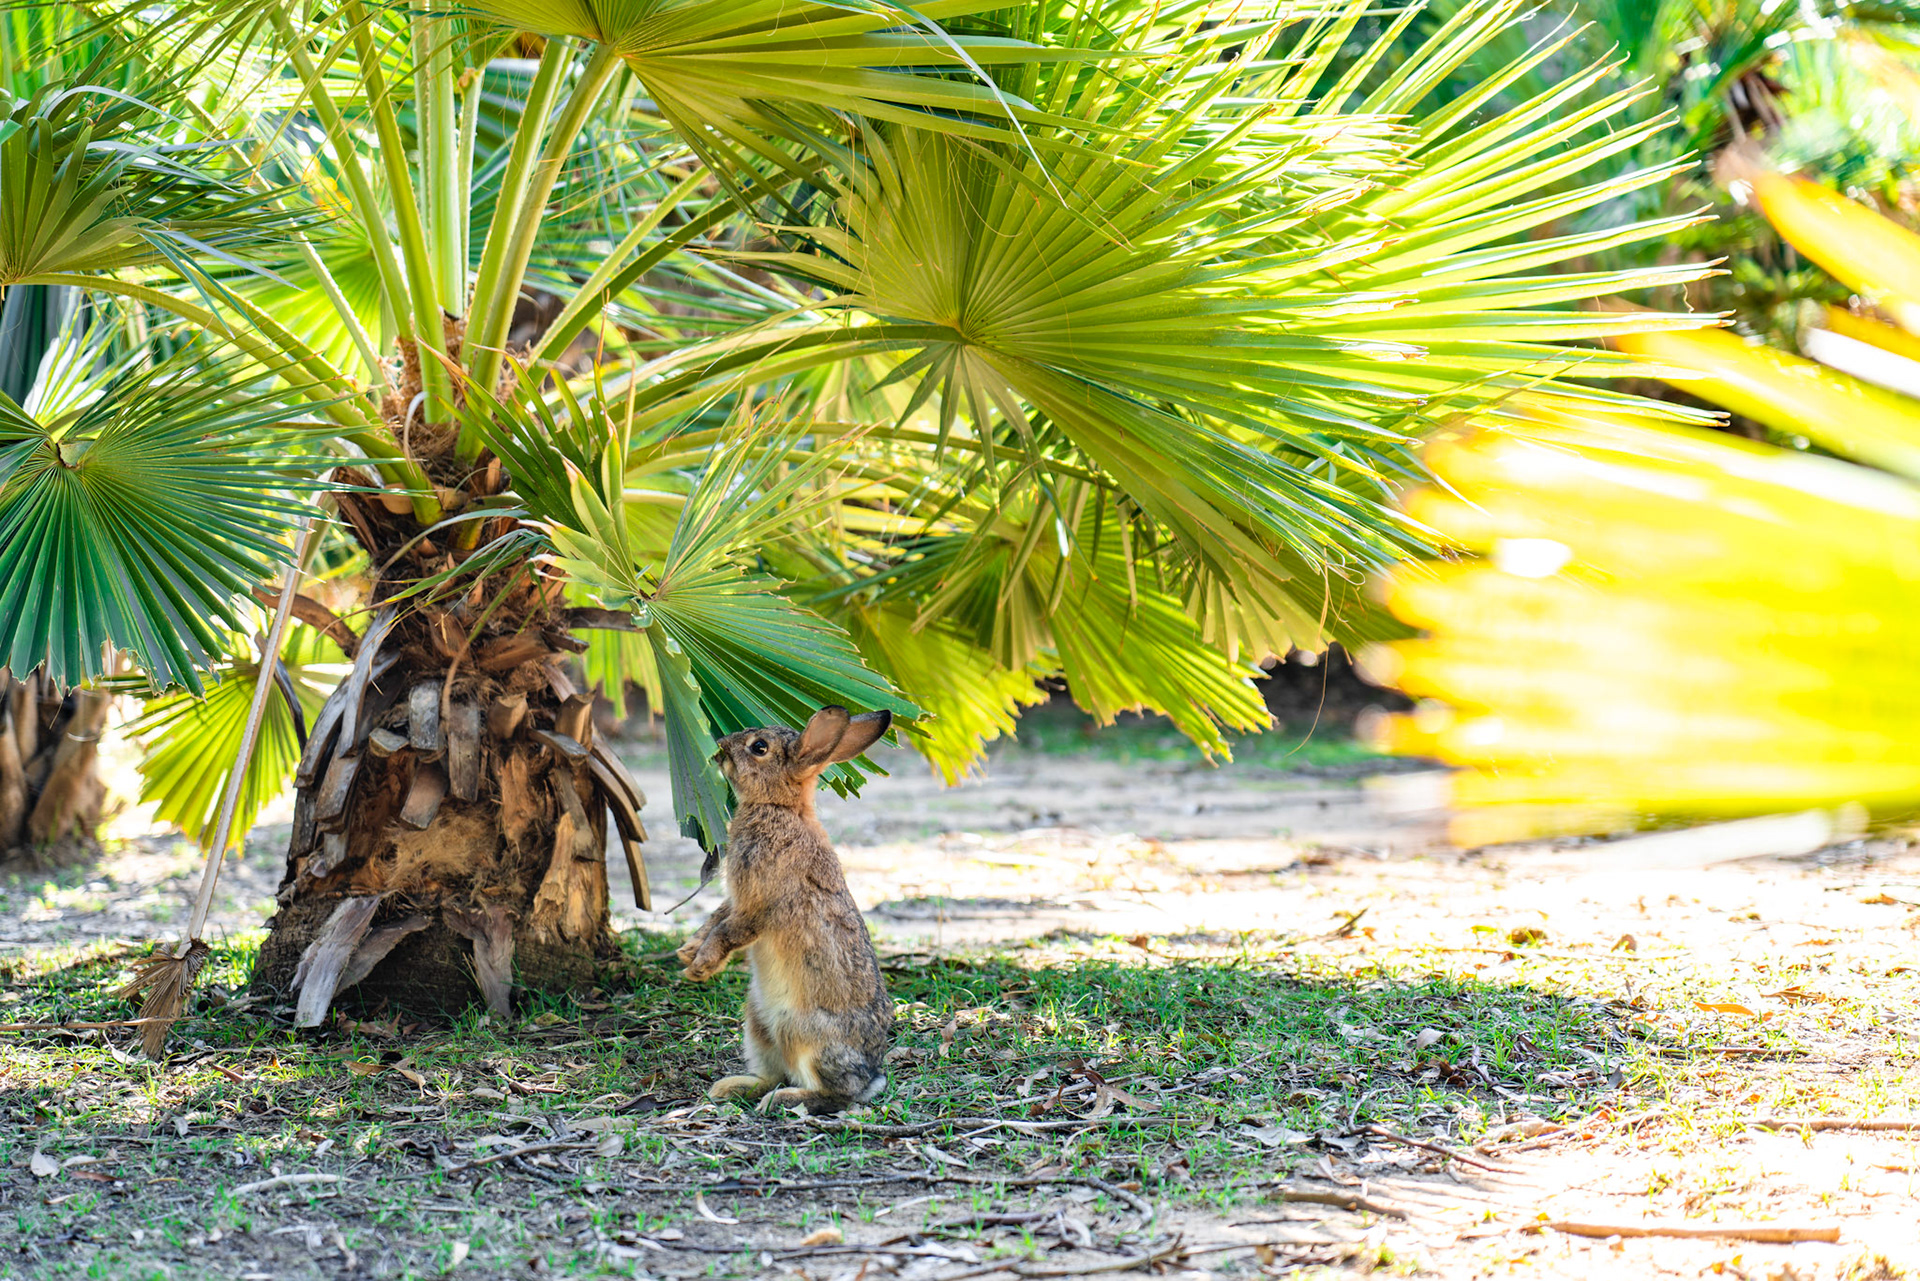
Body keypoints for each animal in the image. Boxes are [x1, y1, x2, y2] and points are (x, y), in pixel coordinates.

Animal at [677, 705, 895, 1115]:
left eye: (759, 747)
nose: (720, 745)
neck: (778, 808)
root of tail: (870, 1076)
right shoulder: (736, 897)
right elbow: (716, 916)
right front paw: (687, 951)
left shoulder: (759, 905)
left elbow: (727, 930)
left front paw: (701, 967)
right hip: (756, 1023)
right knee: (773, 1074)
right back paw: (730, 1088)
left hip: (801, 1033)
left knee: (832, 1092)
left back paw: (783, 1100)